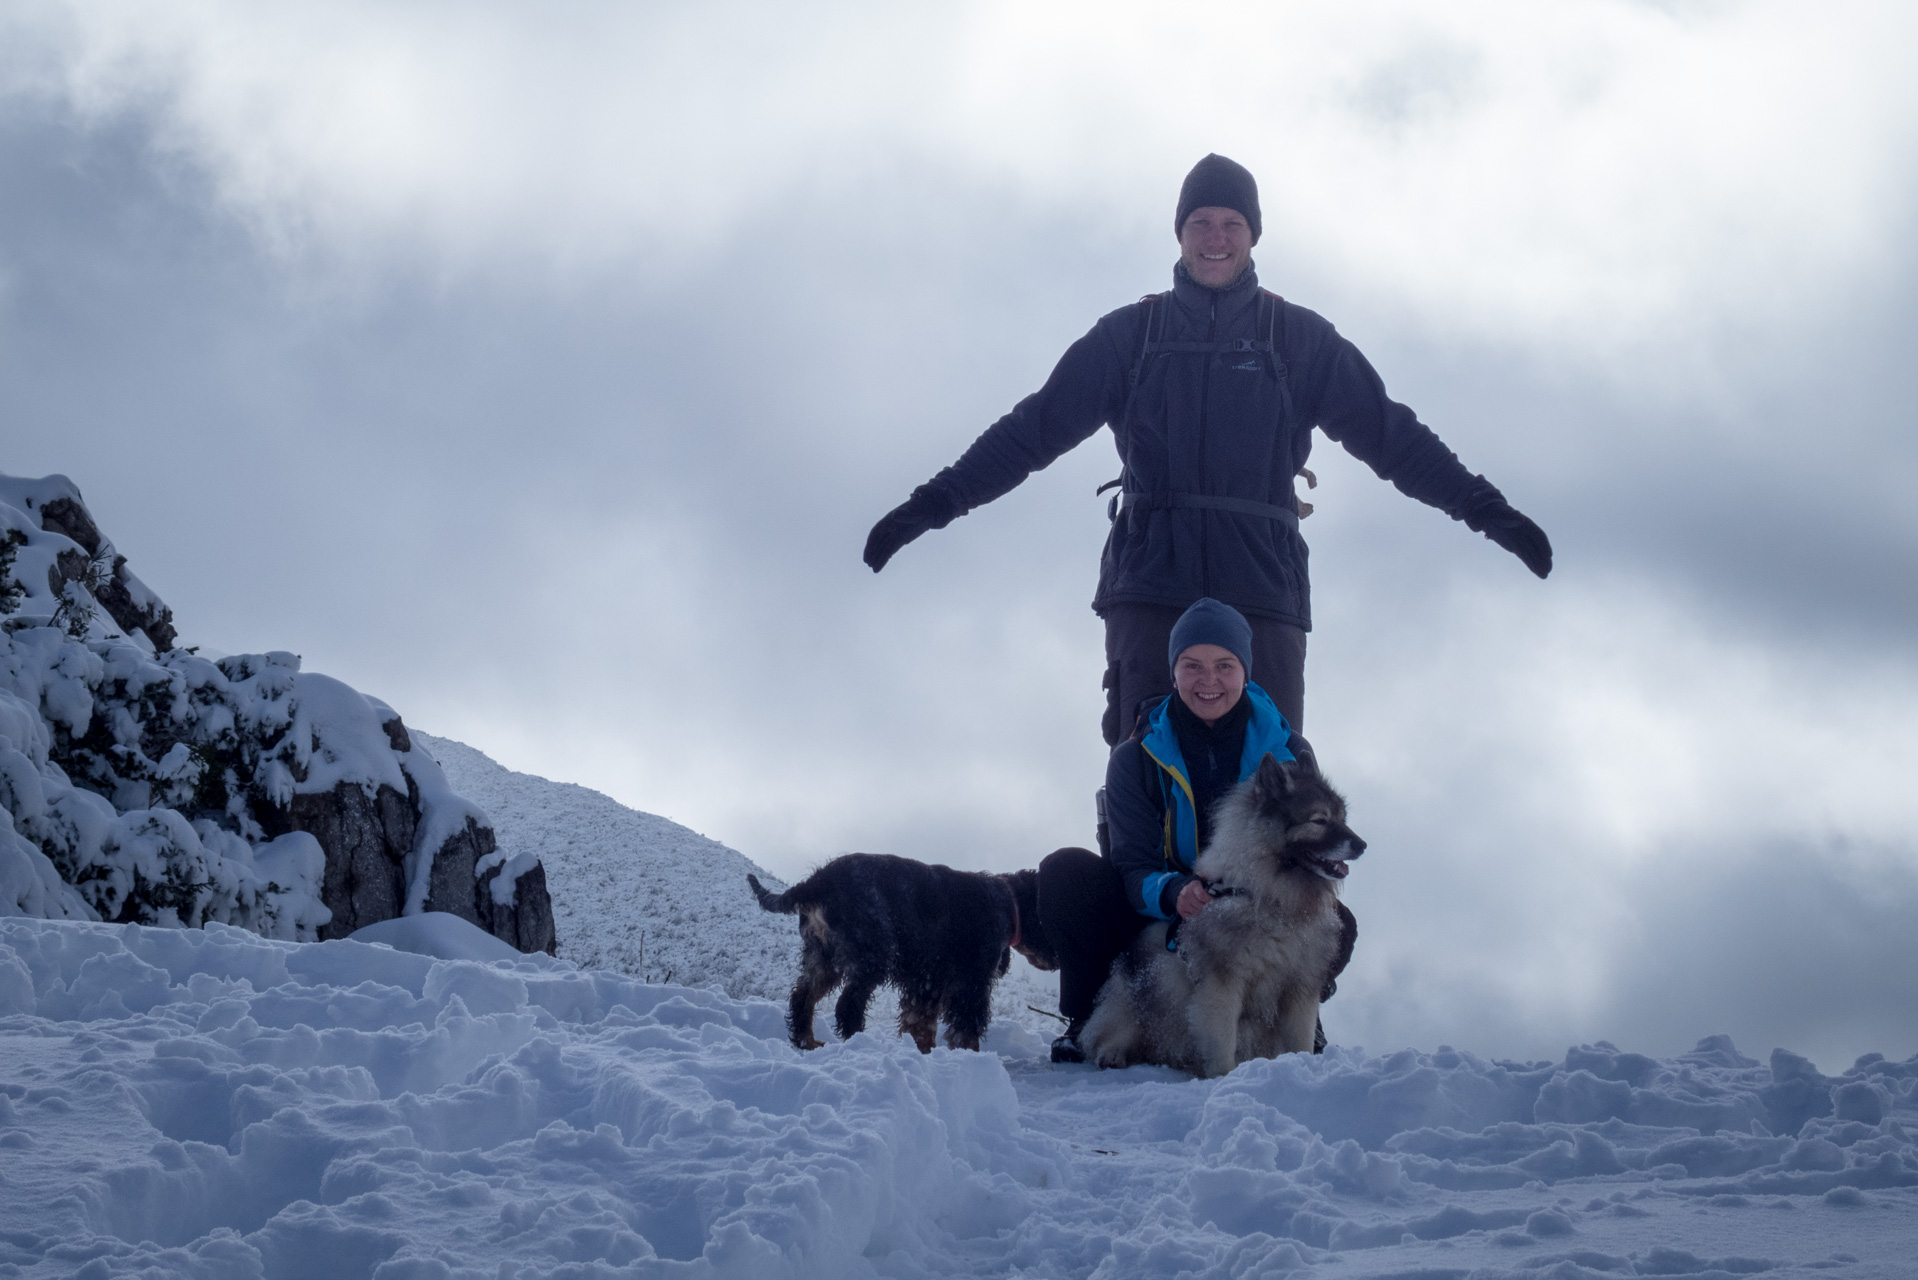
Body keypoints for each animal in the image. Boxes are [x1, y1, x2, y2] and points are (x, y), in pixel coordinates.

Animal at [748, 855, 1058, 1059]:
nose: (1056, 961)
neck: (1008, 903)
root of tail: (816, 882)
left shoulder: (927, 983)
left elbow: (919, 1024)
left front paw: (923, 1053)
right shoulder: (971, 982)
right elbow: (967, 1026)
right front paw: (970, 1056)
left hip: (823, 958)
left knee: (802, 997)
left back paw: (807, 1042)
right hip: (872, 956)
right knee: (848, 1005)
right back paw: (859, 1043)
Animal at [1081, 756, 1365, 1074]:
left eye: (1342, 818)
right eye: (1319, 820)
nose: (1362, 845)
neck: (1272, 899)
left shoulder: (1299, 990)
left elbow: (1300, 1041)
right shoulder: (1223, 985)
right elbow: (1222, 1041)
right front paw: (1225, 1076)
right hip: (1136, 1000)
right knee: (1103, 1034)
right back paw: (1111, 1054)